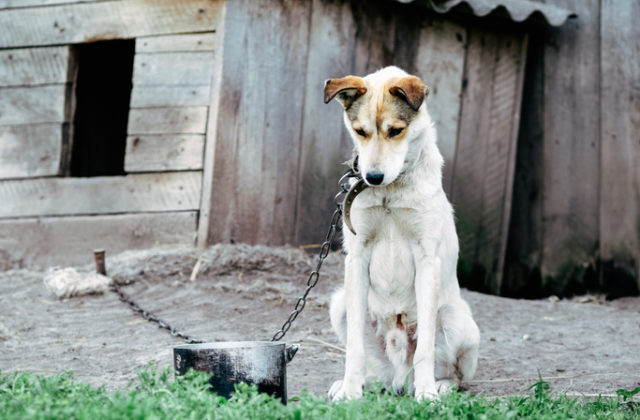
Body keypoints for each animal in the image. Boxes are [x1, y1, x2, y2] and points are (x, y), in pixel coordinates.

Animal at [324, 65, 480, 400]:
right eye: (360, 131)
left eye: (395, 131)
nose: (372, 177)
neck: (389, 193)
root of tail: (399, 378)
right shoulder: (357, 258)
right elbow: (354, 348)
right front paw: (350, 393)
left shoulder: (427, 259)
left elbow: (425, 349)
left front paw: (427, 395)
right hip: (340, 304)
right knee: (374, 369)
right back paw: (360, 383)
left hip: (456, 319)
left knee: (453, 372)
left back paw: (437, 385)